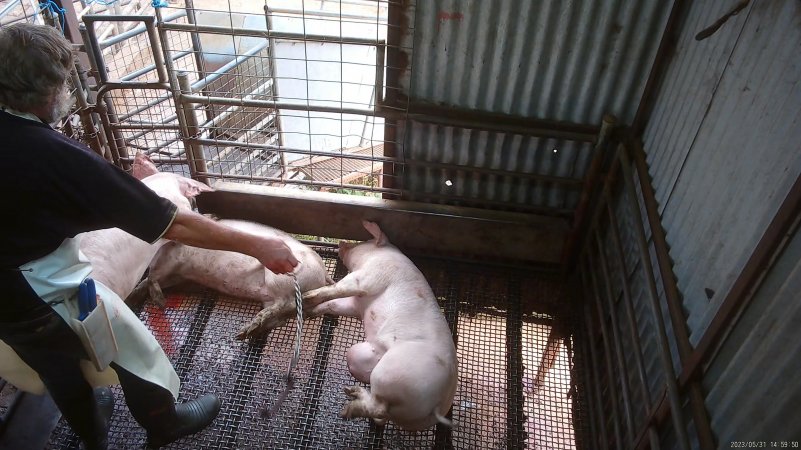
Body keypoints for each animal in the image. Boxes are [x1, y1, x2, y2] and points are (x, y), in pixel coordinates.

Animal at [143, 220, 332, 340]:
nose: (151, 265)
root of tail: (323, 272)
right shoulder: (176, 273)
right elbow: (153, 279)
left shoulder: (171, 262)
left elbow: (153, 278)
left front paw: (160, 302)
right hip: (273, 295)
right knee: (281, 315)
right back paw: (248, 332)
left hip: (279, 278)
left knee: (284, 303)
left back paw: (247, 329)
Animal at [304, 220, 460, 430]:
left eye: (364, 241)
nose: (342, 242)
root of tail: (439, 405)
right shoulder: (355, 305)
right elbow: (334, 304)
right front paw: (308, 310)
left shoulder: (369, 276)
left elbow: (339, 287)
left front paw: (307, 295)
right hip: (362, 358)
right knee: (379, 409)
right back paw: (352, 392)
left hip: (392, 372)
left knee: (378, 408)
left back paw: (347, 409)